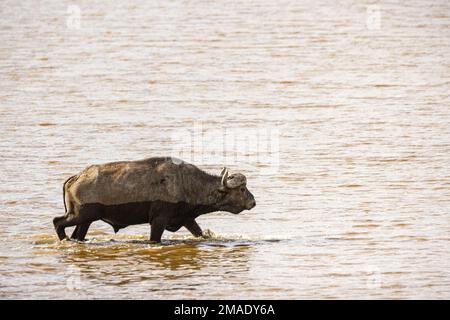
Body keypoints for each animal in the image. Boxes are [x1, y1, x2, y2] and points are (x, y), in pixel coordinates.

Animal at [52, 158, 255, 242]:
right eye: (242, 189)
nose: (253, 202)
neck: (186, 183)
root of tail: (76, 177)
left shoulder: (186, 219)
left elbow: (200, 233)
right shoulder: (158, 221)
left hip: (85, 221)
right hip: (79, 215)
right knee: (57, 222)